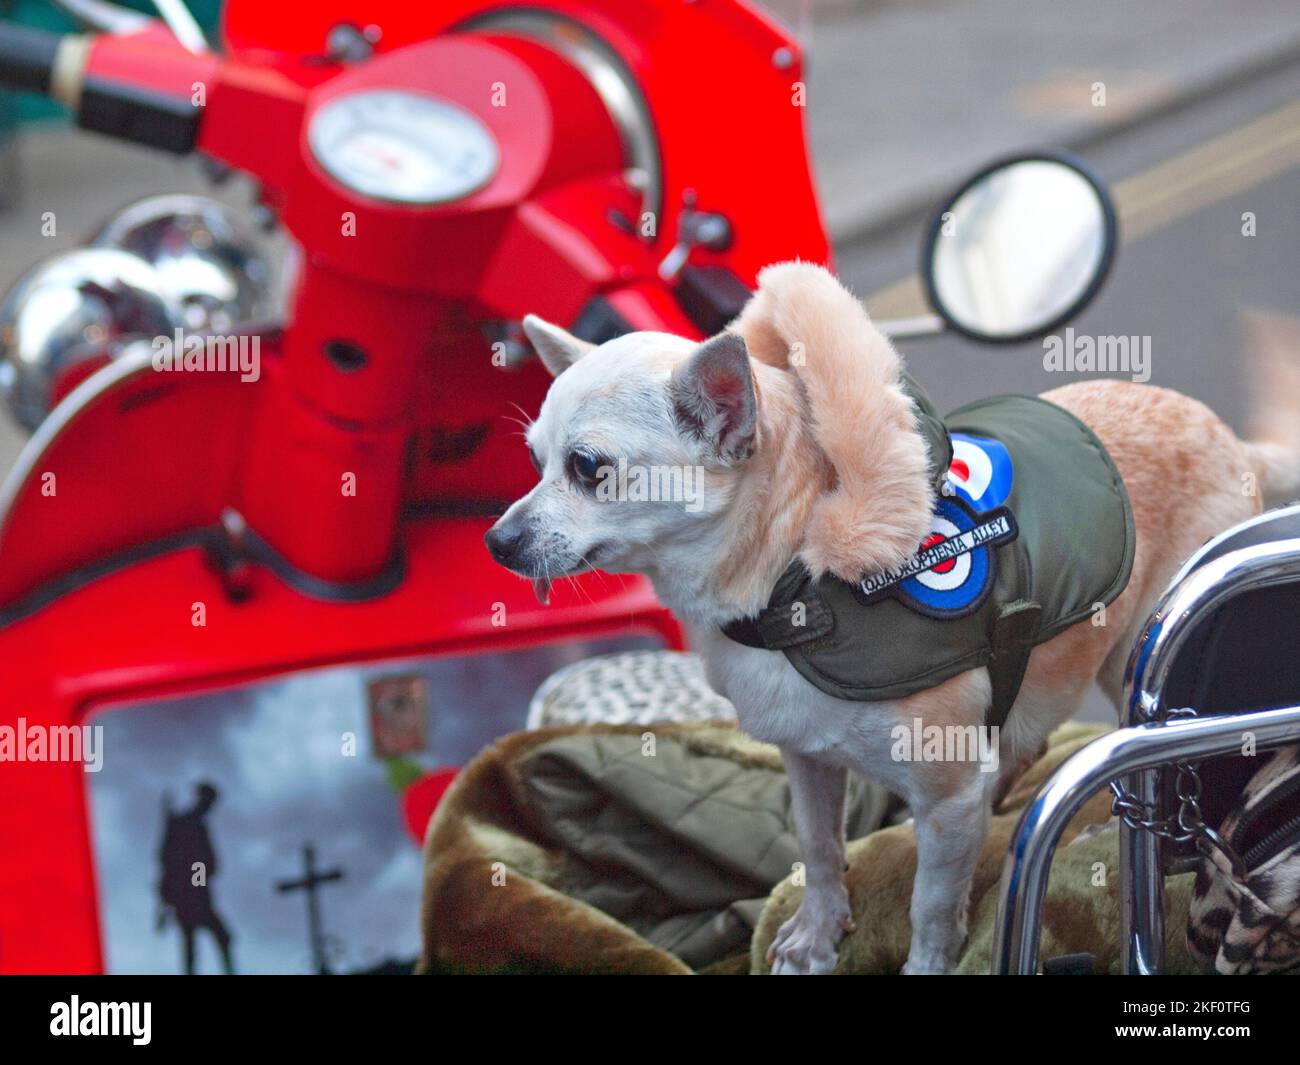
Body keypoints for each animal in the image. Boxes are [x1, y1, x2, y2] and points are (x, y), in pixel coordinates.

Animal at [486, 260, 1300, 972]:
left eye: (589, 469)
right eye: (531, 461)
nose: (498, 540)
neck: (799, 582)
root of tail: (1235, 442)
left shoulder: (948, 795)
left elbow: (929, 907)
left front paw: (926, 962)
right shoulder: (808, 759)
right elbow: (819, 850)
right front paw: (817, 937)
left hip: (1136, 650)